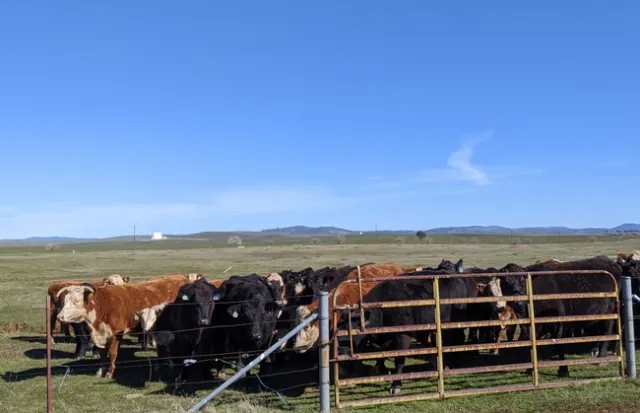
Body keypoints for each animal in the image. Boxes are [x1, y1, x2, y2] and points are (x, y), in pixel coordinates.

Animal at [55, 274, 192, 378]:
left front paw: (109, 373)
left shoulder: (116, 333)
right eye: (65, 300)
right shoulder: (101, 335)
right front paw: (100, 371)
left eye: (76, 301)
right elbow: (102, 354)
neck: (103, 305)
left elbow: (113, 353)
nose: (60, 317)